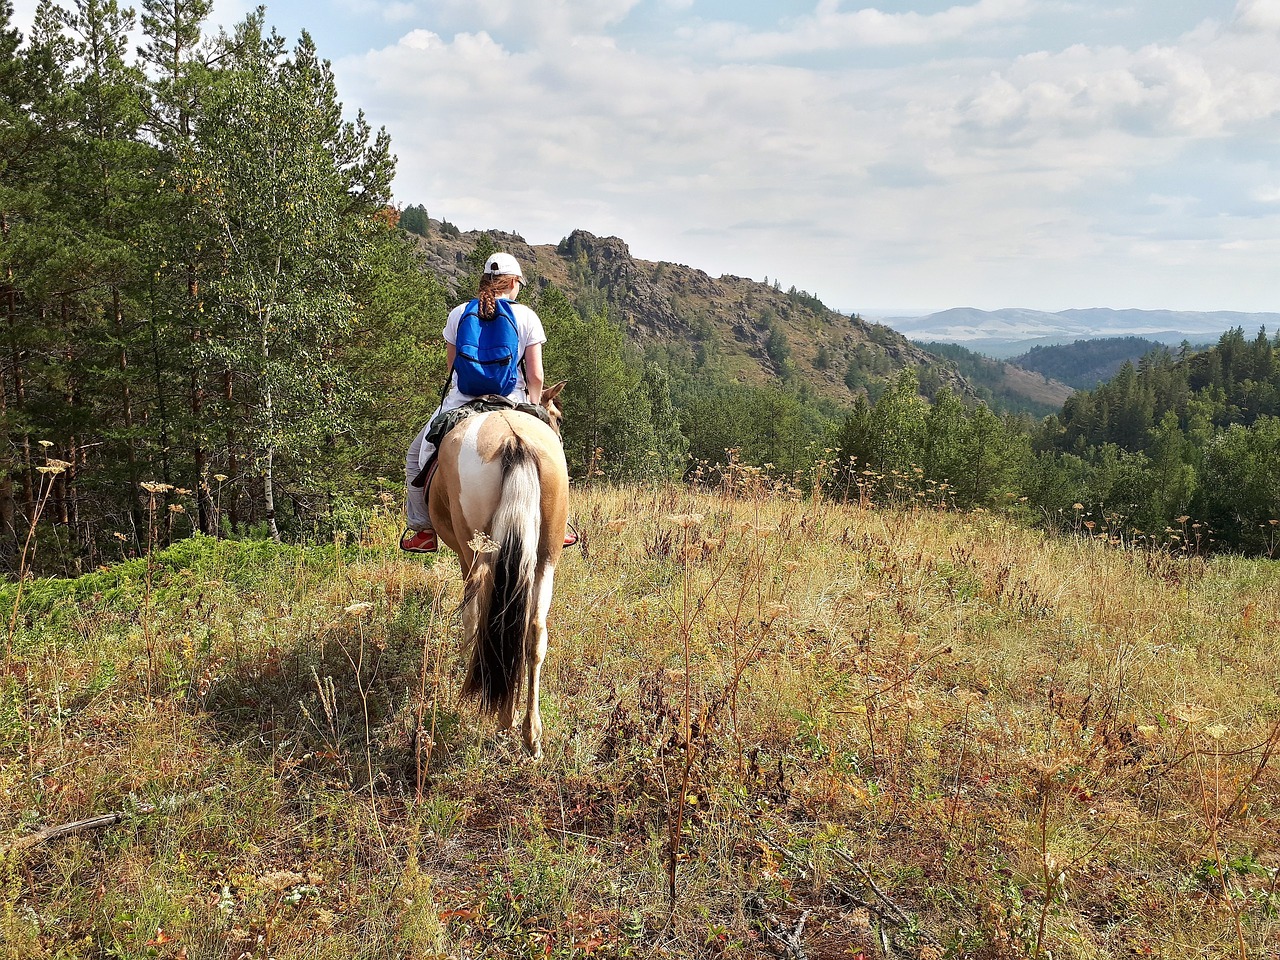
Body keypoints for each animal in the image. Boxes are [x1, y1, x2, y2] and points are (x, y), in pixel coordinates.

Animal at [427, 378, 568, 762]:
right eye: (558, 417)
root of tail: (513, 440)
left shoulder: (465, 558)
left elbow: (470, 615)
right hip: (545, 556)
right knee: (532, 631)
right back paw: (529, 733)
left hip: (476, 550)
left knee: (485, 617)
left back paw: (503, 718)